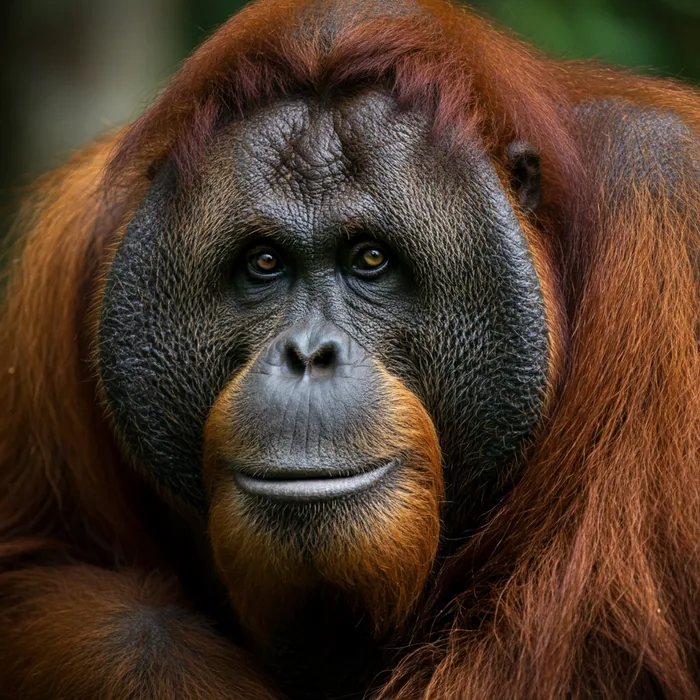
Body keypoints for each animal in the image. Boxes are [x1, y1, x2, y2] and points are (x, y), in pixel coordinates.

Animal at [0, 0, 699, 698]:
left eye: (369, 258)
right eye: (264, 263)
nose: (309, 355)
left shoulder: (667, 203)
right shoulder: (68, 247)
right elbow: (39, 564)